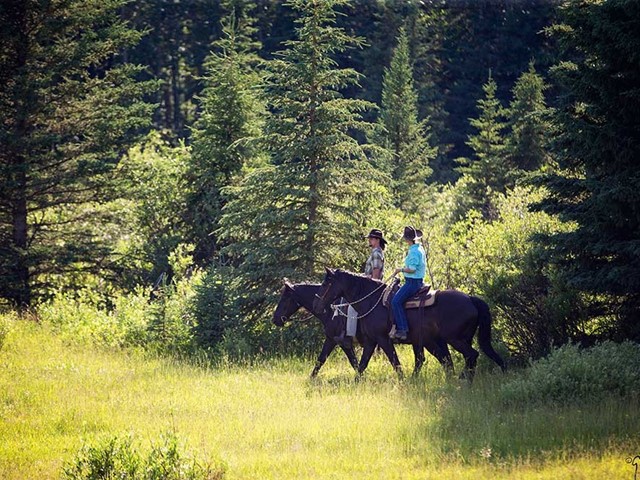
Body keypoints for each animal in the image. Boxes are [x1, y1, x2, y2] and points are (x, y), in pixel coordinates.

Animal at [312, 268, 508, 380]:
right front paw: (357, 383)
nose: (317, 305)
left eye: (327, 283)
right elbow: (362, 364)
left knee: (471, 355)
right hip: (453, 339)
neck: (372, 300)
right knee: (457, 359)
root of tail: (471, 299)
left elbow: (395, 362)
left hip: (455, 339)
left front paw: (403, 382)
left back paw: (463, 380)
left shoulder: (383, 339)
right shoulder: (371, 341)